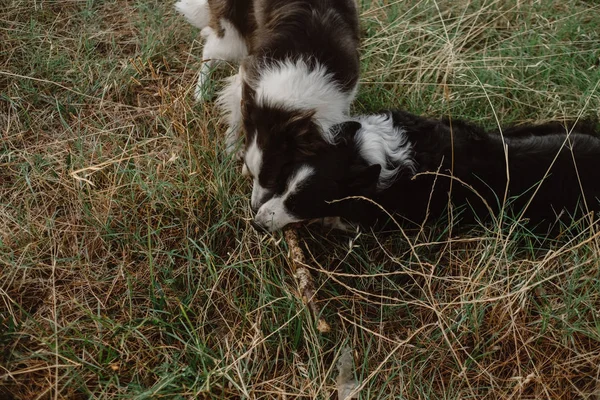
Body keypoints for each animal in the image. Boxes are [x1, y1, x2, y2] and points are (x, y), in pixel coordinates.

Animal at [175, 0, 360, 212]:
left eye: (274, 180)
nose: (254, 207)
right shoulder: (249, 76)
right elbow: (237, 115)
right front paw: (231, 148)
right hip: (231, 37)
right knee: (210, 50)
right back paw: (201, 90)